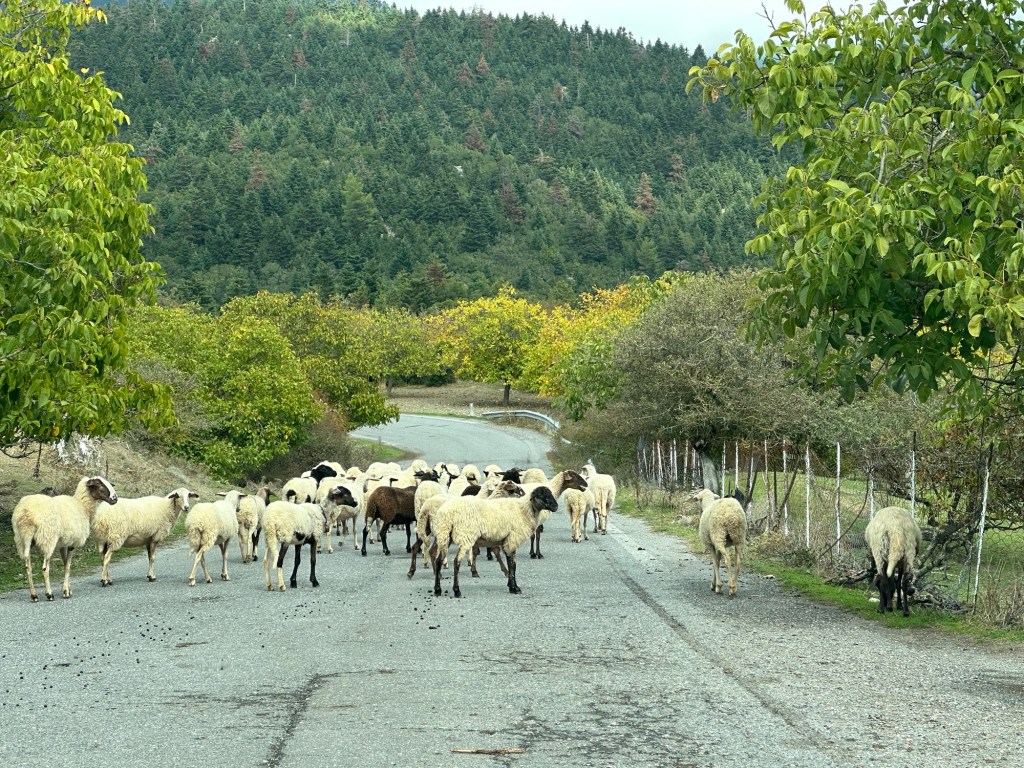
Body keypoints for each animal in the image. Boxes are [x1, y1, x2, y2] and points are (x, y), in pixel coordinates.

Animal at [429, 485, 559, 597]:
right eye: (542, 496)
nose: (556, 507)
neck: (524, 510)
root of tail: (446, 514)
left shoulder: (507, 541)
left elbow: (511, 564)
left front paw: (511, 585)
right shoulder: (513, 539)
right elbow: (513, 565)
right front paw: (515, 588)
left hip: (444, 535)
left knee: (439, 560)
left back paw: (437, 589)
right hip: (465, 535)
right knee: (456, 562)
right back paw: (457, 591)